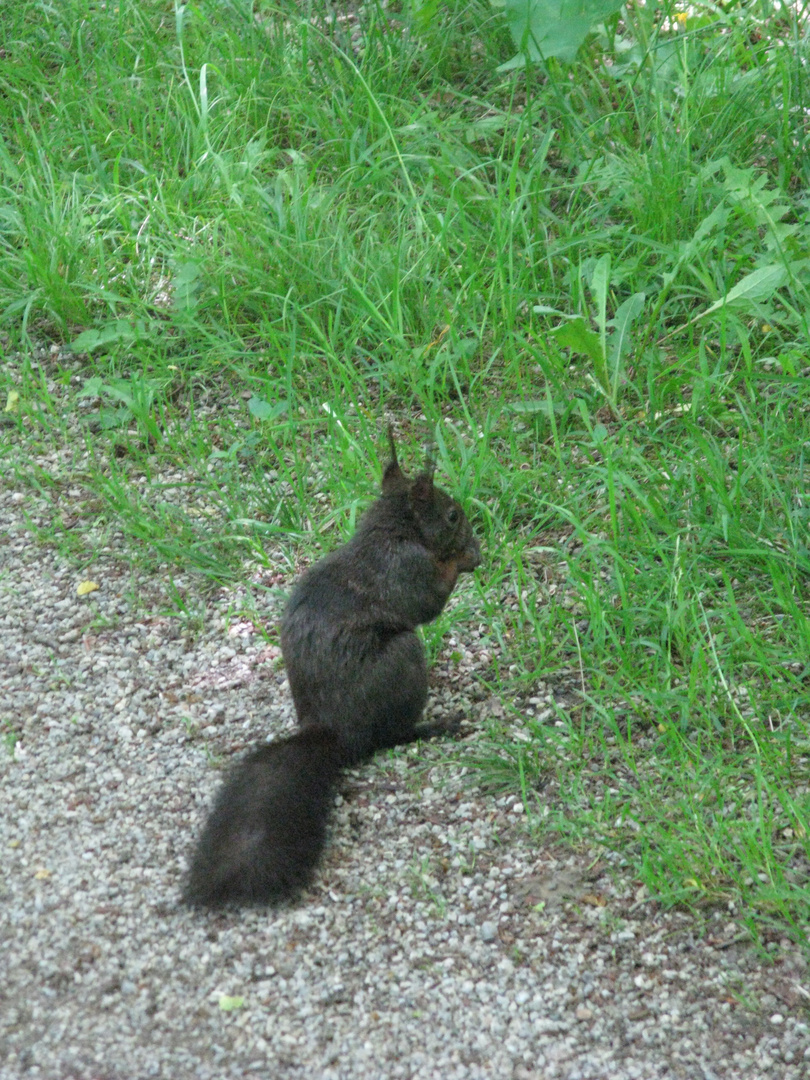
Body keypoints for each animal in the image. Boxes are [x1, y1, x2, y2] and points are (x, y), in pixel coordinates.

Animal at [182, 427, 481, 902]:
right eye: (452, 515)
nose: (470, 531)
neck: (392, 532)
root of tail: (331, 730)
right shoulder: (408, 571)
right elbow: (429, 600)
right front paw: (463, 557)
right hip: (402, 662)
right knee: (387, 737)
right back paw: (434, 726)